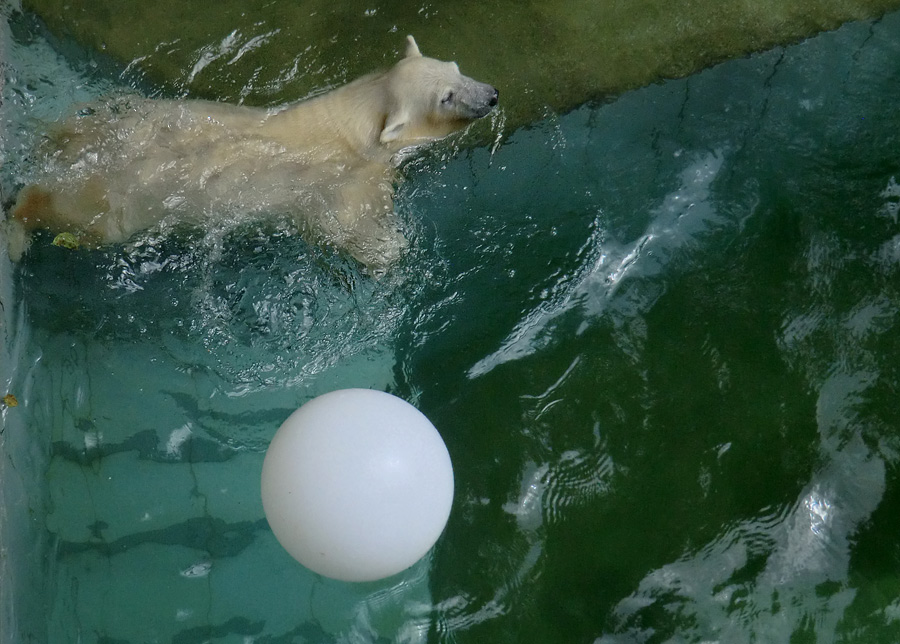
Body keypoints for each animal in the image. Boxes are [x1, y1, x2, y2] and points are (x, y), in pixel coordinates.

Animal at [5, 35, 500, 272]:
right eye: (446, 98)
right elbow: (351, 225)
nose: (492, 95)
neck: (358, 117)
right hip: (109, 202)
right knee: (63, 212)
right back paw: (17, 234)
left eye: (456, 67)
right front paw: (391, 254)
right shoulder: (342, 182)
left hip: (119, 115)